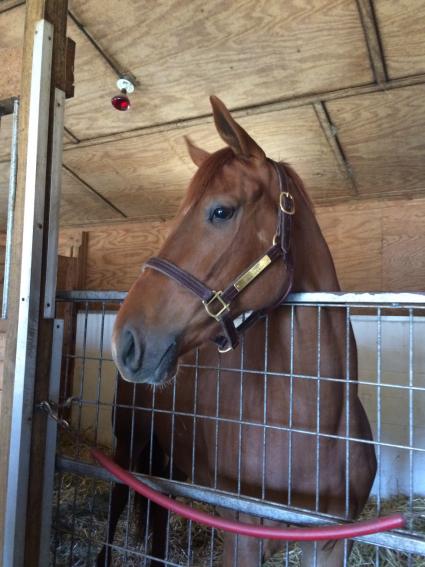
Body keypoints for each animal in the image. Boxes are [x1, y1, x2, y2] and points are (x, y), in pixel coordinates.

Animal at [98, 97, 374, 567]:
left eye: (221, 211)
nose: (125, 341)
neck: (311, 424)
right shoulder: (242, 536)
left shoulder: (332, 544)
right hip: (130, 443)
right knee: (121, 499)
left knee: (157, 514)